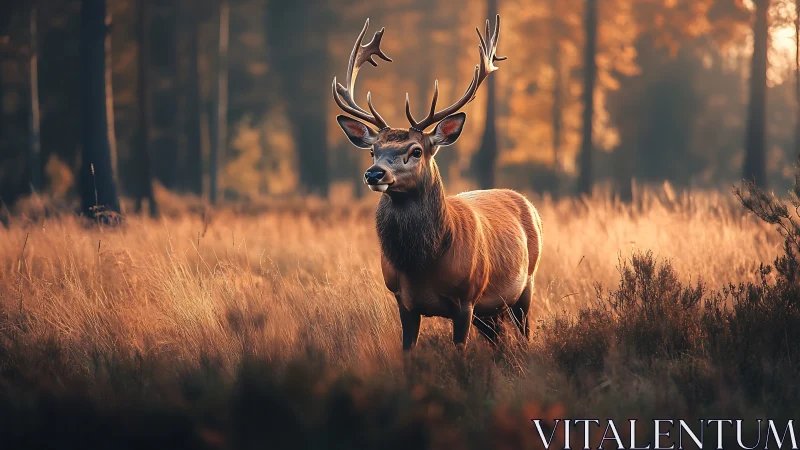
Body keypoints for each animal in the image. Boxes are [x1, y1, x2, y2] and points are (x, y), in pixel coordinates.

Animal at [332, 15, 542, 350]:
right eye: (373, 151)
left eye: (416, 150)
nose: (374, 174)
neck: (423, 265)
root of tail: (528, 204)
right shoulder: (402, 300)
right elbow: (408, 350)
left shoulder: (467, 298)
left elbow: (460, 351)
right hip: (490, 312)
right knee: (498, 340)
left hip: (526, 286)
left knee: (524, 334)